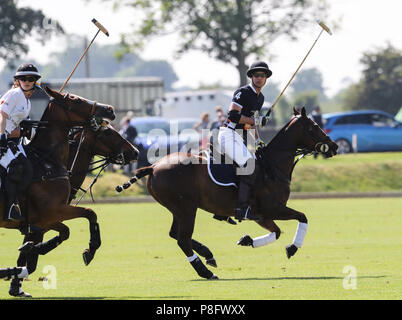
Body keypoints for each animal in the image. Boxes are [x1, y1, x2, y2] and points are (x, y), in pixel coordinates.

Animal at [0, 86, 116, 296]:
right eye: (76, 99)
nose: (109, 109)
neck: (48, 161)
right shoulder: (53, 211)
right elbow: (90, 213)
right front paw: (90, 250)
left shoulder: (44, 219)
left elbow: (64, 232)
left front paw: (31, 250)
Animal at [117, 107, 340, 280]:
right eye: (313, 127)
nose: (335, 146)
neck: (273, 166)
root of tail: (153, 166)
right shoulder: (273, 208)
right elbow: (303, 217)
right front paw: (292, 248)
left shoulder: (262, 215)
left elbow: (276, 232)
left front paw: (247, 240)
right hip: (186, 208)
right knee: (182, 239)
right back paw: (206, 272)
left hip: (177, 208)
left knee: (176, 234)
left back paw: (208, 255)